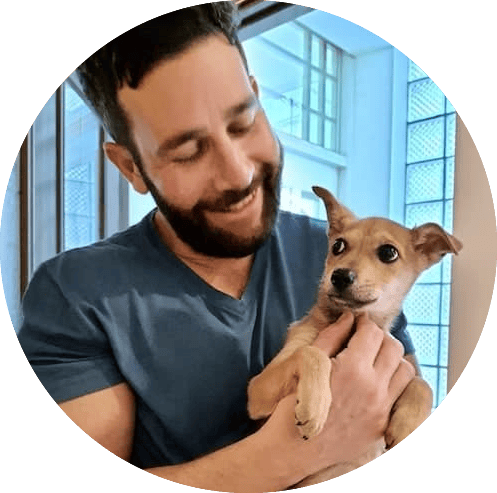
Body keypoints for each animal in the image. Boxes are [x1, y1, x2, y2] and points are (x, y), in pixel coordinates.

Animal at [247, 186, 463, 486]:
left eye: (388, 252)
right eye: (337, 246)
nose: (339, 276)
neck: (352, 324)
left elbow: (422, 383)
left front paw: (407, 425)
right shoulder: (258, 389)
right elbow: (310, 352)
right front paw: (315, 405)